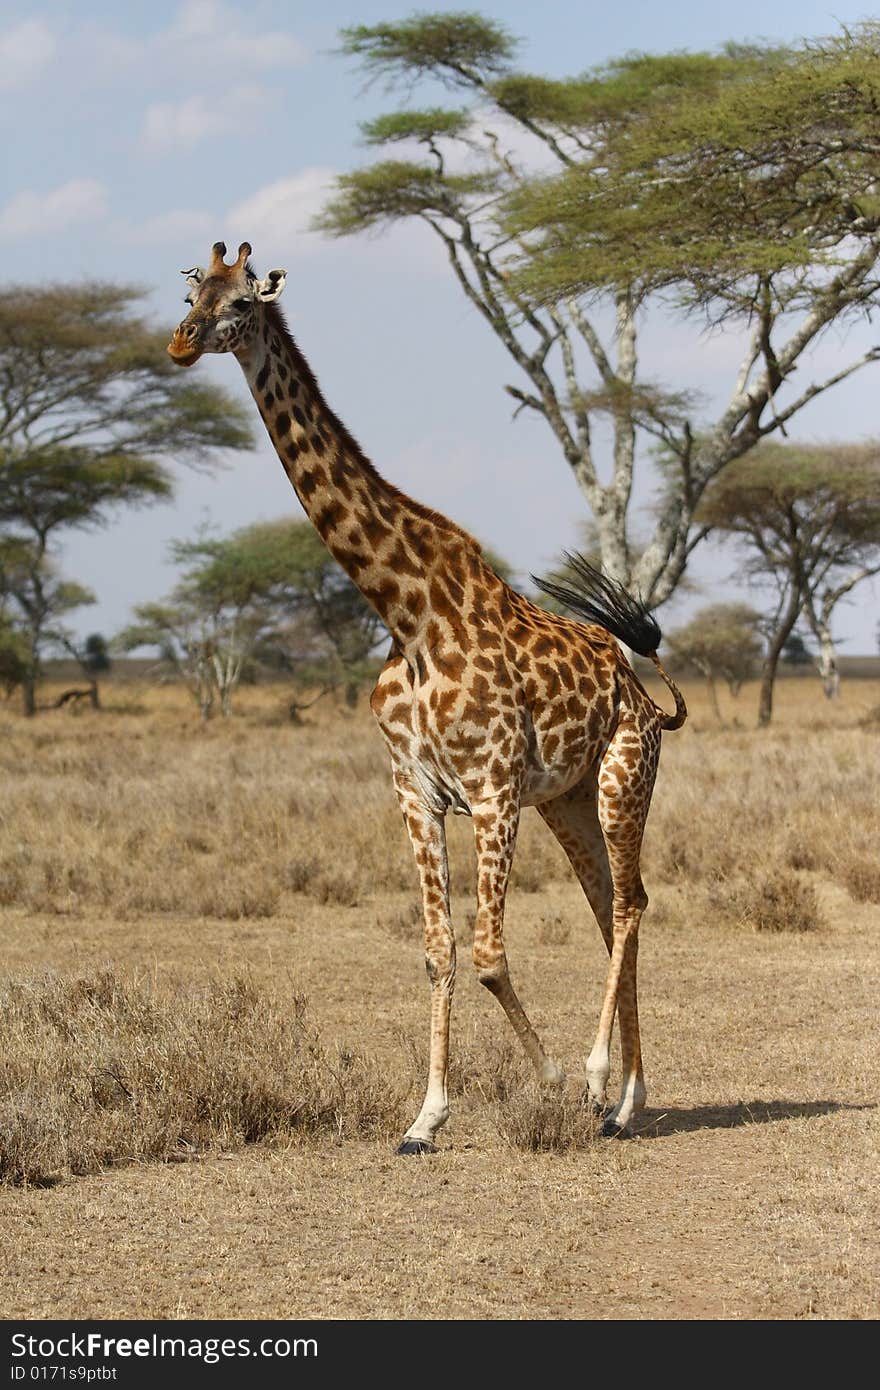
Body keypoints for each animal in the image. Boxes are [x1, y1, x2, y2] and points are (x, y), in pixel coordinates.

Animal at [166, 241, 686, 1150]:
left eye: (243, 305)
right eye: (193, 294)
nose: (180, 343)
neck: (405, 612)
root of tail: (641, 691)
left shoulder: (492, 788)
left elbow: (487, 955)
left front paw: (552, 1077)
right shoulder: (415, 790)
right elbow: (439, 950)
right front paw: (426, 1117)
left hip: (624, 776)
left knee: (628, 908)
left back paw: (602, 1083)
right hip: (569, 798)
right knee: (612, 907)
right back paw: (627, 1101)